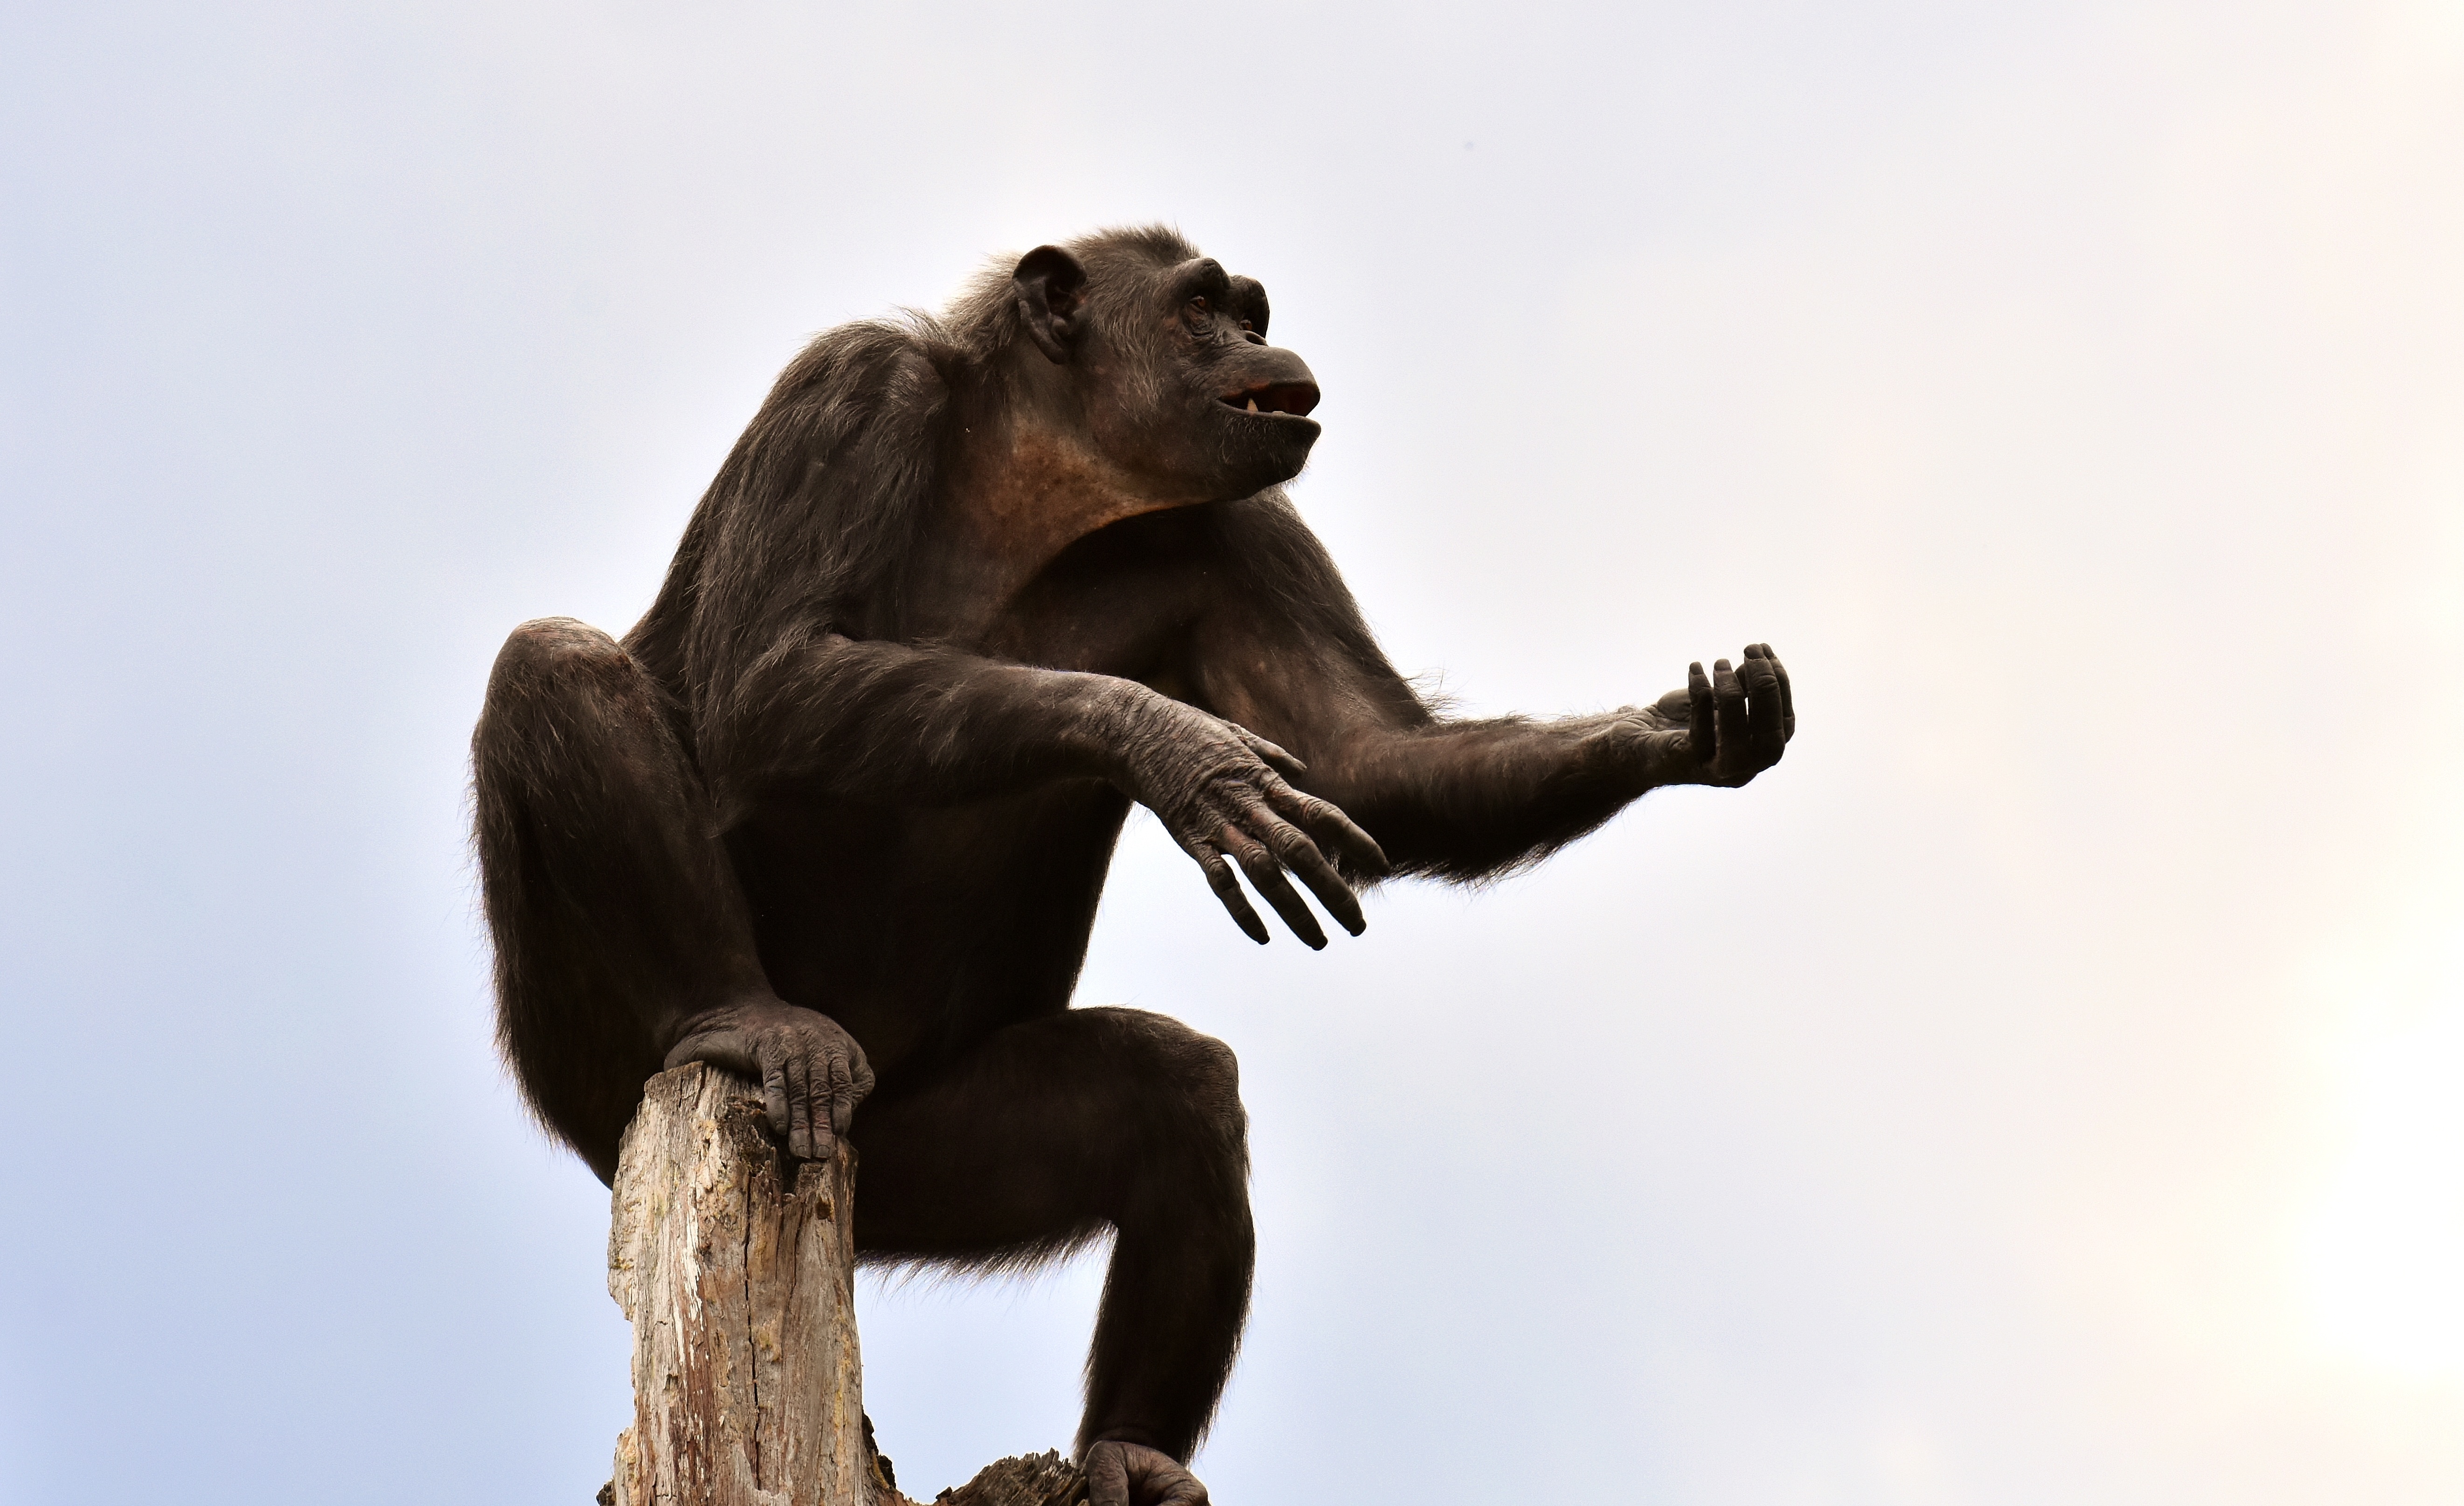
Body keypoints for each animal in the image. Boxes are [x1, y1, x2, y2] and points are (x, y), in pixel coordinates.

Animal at [472, 225, 1793, 1506]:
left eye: (1251, 313)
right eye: (1203, 308)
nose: (1259, 345)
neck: (1033, 476)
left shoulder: (1249, 536)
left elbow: (1361, 760)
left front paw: (1670, 732)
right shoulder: (843, 395)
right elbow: (770, 671)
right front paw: (1174, 748)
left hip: (920, 1151)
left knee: (1176, 1096)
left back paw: (1133, 1452)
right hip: (606, 1070)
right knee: (556, 668)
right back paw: (744, 1014)